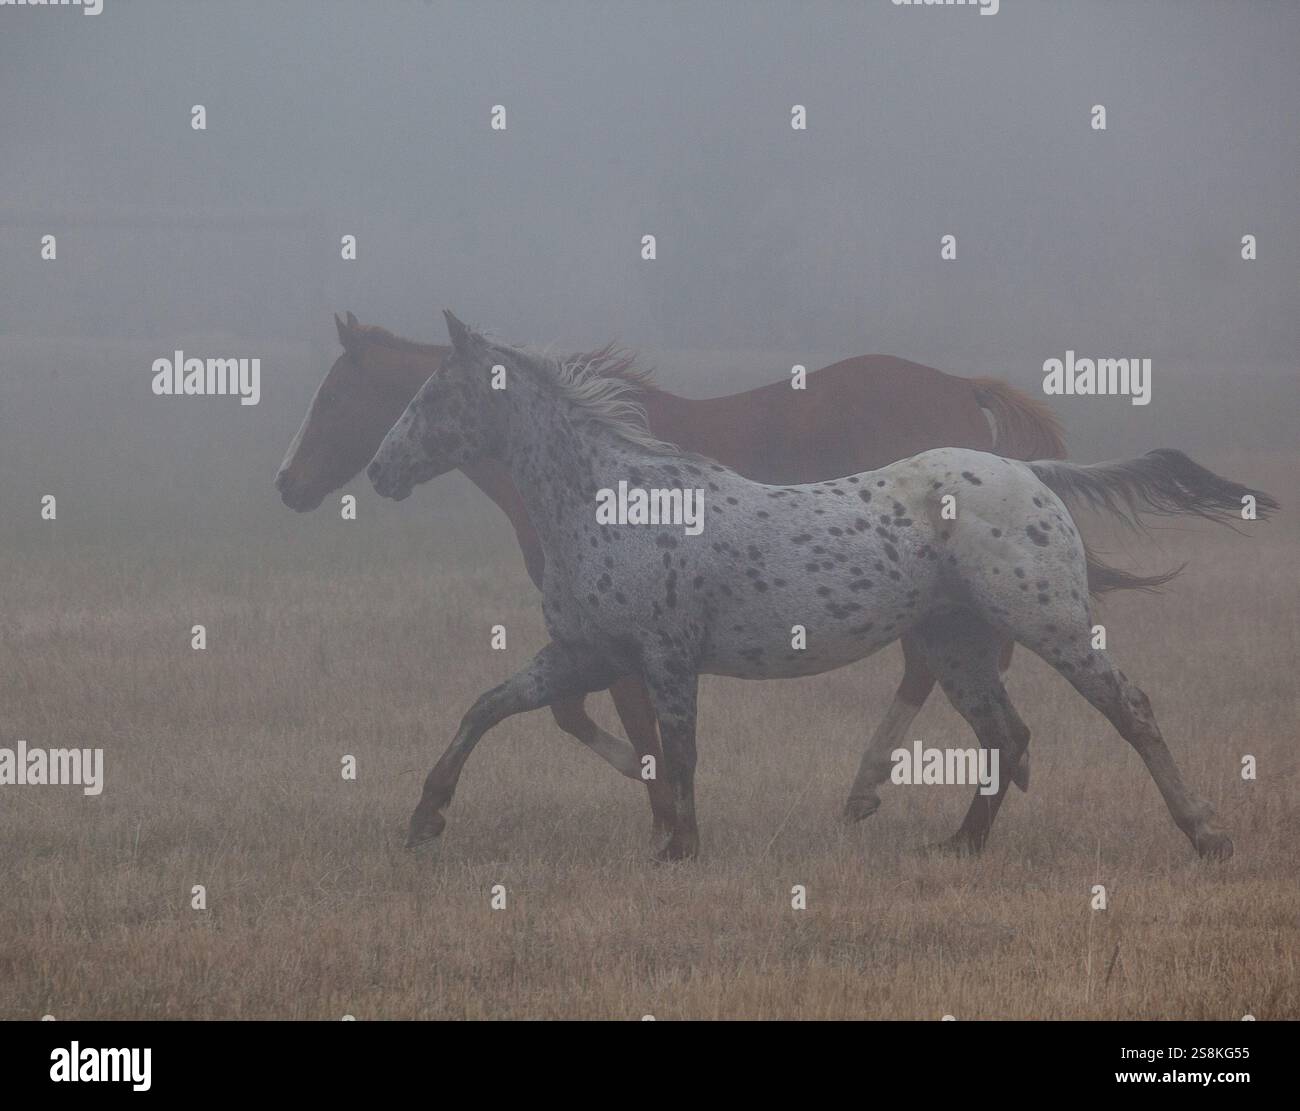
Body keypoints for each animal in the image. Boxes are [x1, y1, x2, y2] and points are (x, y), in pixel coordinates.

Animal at [368, 312, 1276, 862]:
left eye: (436, 393)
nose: (378, 471)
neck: (611, 494)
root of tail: (1031, 473)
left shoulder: (664, 655)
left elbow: (680, 749)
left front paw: (679, 847)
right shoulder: (586, 652)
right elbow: (489, 707)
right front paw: (424, 818)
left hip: (1051, 623)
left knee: (1129, 710)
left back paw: (1206, 834)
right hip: (956, 643)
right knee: (1007, 735)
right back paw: (960, 844)